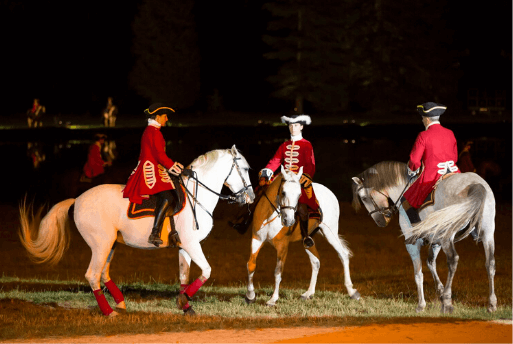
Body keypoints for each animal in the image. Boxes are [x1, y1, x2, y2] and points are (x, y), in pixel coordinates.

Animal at [19, 145, 255, 318]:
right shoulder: (191, 244)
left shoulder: (185, 246)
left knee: (103, 273)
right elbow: (206, 271)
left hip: (110, 244)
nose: (251, 197)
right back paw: (109, 312)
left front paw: (185, 304)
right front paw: (184, 300)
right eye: (244, 169)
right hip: (101, 243)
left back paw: (120, 303)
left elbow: (184, 276)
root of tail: (77, 199)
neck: (195, 196)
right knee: (93, 275)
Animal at [242, 165, 358, 306]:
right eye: (283, 192)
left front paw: (273, 299)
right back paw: (308, 293)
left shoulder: (282, 245)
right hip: (307, 240)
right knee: (316, 261)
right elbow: (251, 265)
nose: (289, 221)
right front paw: (250, 296)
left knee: (343, 254)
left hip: (330, 232)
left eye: (299, 195)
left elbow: (278, 271)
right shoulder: (257, 239)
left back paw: (352, 292)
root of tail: (329, 192)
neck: (271, 214)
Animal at [352, 160, 496, 314]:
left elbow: (418, 274)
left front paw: (422, 305)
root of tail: (475, 184)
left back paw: (447, 302)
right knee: (490, 263)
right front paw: (439, 290)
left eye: (364, 198)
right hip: (487, 232)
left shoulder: (412, 244)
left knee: (453, 260)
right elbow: (430, 262)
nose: (380, 222)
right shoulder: (435, 241)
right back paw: (491, 304)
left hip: (448, 235)